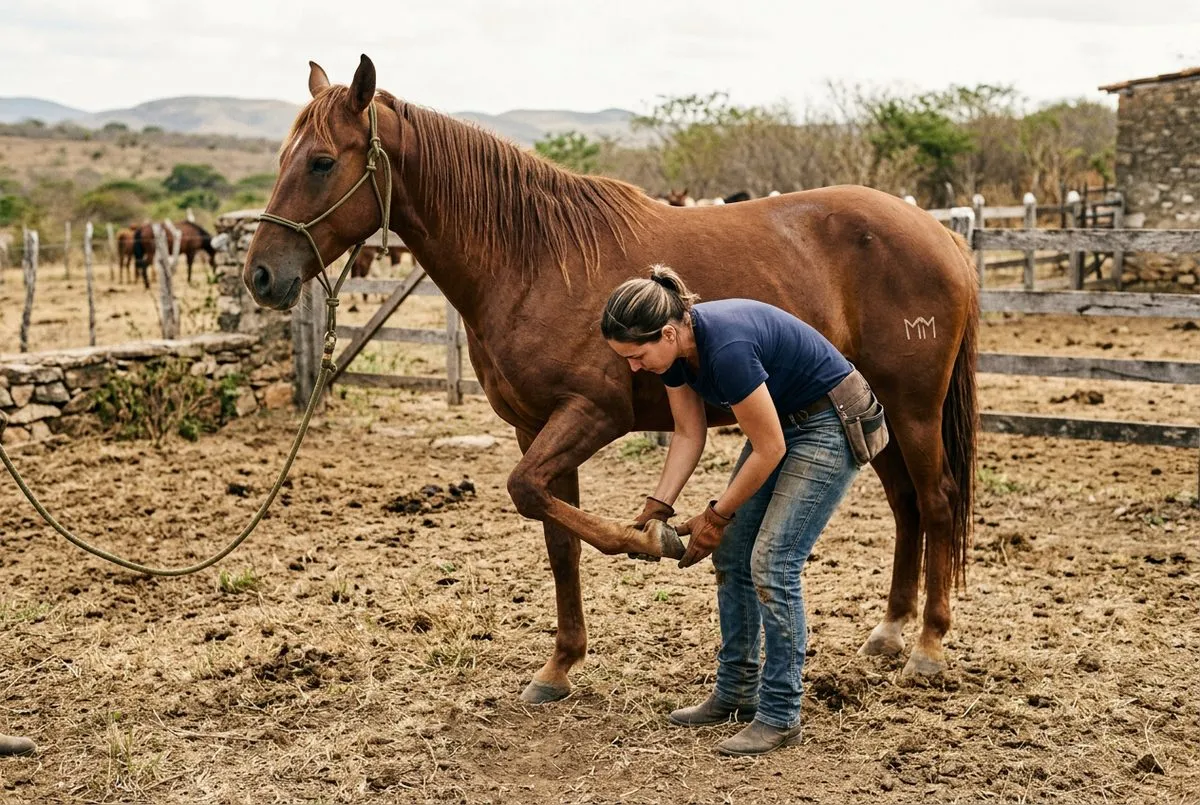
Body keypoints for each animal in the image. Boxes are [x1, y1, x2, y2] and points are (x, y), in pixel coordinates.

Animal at [244, 56, 979, 704]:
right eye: (283, 158)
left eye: (321, 162)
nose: (260, 276)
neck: (534, 258)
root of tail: (940, 234)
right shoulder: (534, 427)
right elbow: (555, 536)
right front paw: (560, 665)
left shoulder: (592, 413)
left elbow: (533, 496)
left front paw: (653, 538)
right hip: (873, 414)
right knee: (907, 506)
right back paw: (889, 631)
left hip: (912, 408)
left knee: (937, 501)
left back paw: (928, 647)